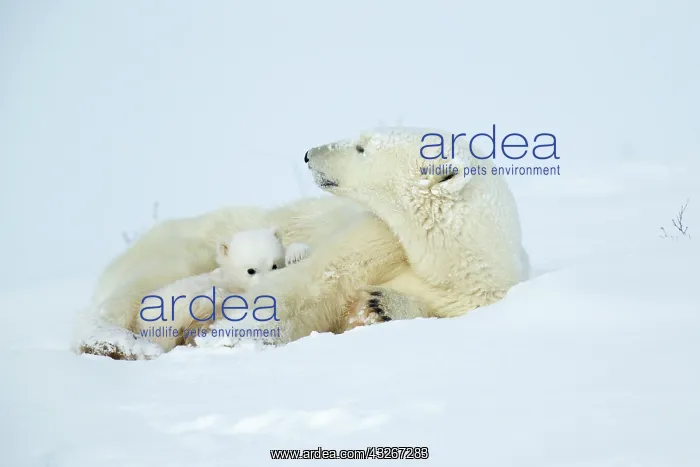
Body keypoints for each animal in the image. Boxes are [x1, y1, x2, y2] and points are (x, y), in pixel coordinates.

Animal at [80, 127, 529, 358]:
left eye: (361, 147)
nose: (310, 153)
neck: (448, 261)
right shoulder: (377, 236)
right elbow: (314, 284)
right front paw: (228, 336)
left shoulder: (475, 297)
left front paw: (379, 306)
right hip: (185, 243)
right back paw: (112, 342)